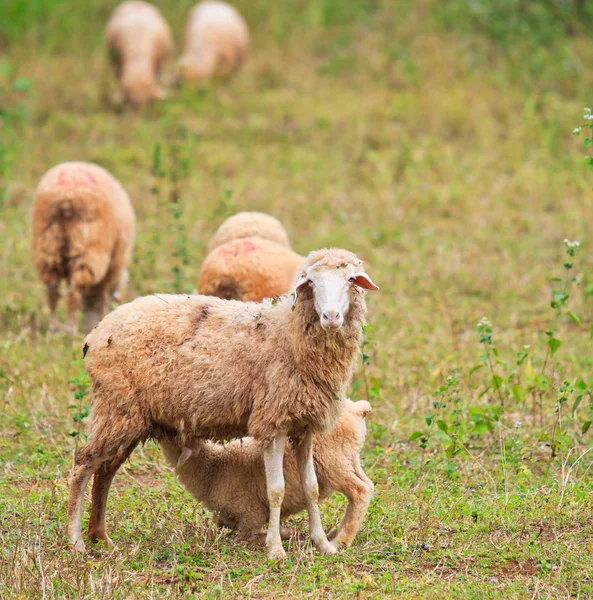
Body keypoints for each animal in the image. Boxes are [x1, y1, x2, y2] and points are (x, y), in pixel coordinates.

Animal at [30, 162, 134, 336]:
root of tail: (68, 193)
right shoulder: (110, 269)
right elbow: (102, 297)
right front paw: (103, 317)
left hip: (47, 245)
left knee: (52, 293)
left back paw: (54, 328)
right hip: (88, 248)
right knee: (72, 293)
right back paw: (71, 329)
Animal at [66, 247, 380, 556]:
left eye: (351, 279)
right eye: (311, 282)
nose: (331, 317)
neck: (288, 332)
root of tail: (97, 333)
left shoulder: (304, 426)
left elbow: (311, 486)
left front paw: (323, 543)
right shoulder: (272, 422)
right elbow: (275, 489)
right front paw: (276, 550)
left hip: (131, 416)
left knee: (105, 471)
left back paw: (100, 536)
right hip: (116, 405)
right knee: (83, 465)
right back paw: (76, 540)